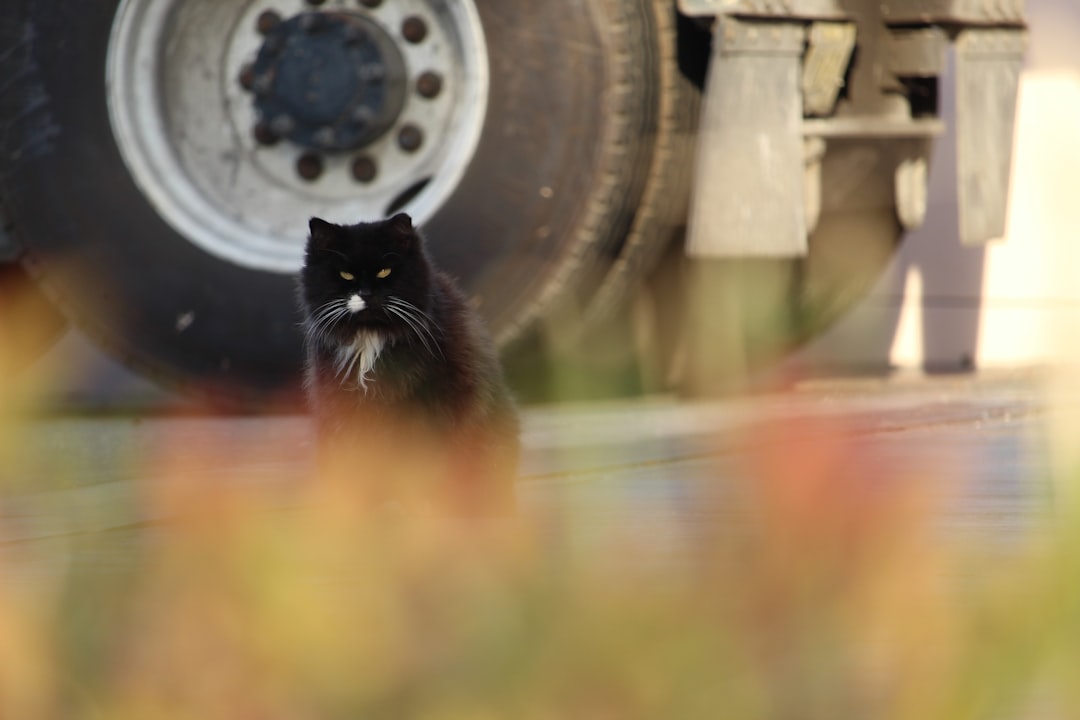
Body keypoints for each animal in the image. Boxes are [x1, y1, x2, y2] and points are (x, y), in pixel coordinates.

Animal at [293, 211, 516, 515]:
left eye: (385, 271)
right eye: (346, 275)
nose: (367, 294)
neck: (371, 339)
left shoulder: (430, 408)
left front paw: (416, 506)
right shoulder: (345, 410)